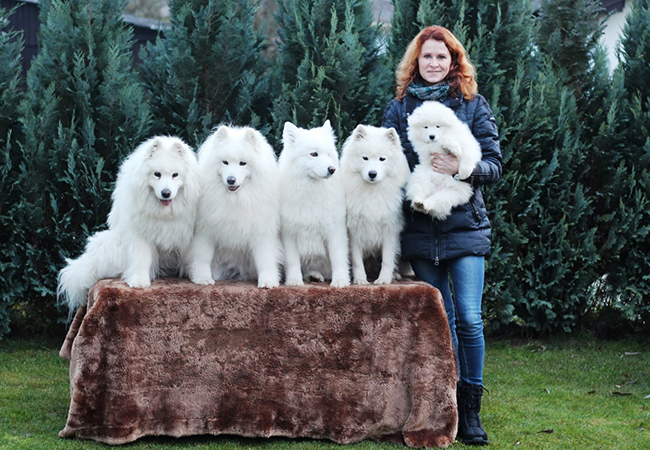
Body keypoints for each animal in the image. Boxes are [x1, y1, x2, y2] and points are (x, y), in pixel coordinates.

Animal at [58, 135, 200, 312]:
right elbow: (141, 258)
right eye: (157, 174)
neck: (164, 213)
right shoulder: (140, 235)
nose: (166, 193)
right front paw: (139, 282)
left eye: (175, 175)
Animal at [185, 125, 280, 288]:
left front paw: (268, 281)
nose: (231, 180)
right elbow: (202, 257)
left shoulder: (262, 231)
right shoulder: (205, 231)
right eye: (225, 162)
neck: (235, 199)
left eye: (243, 163)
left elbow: (265, 258)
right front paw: (202, 278)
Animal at [278, 120, 350, 288]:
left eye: (328, 154)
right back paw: (313, 276)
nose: (332, 169)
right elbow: (292, 260)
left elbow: (338, 258)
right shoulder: (289, 233)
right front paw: (294, 281)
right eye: (314, 154)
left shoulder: (334, 229)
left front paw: (340, 281)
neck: (311, 190)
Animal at [336, 123, 408, 284]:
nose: (372, 174)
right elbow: (357, 260)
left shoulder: (390, 230)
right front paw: (360, 280)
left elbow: (387, 259)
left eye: (382, 159)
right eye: (365, 158)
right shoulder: (354, 231)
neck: (372, 193)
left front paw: (383, 280)